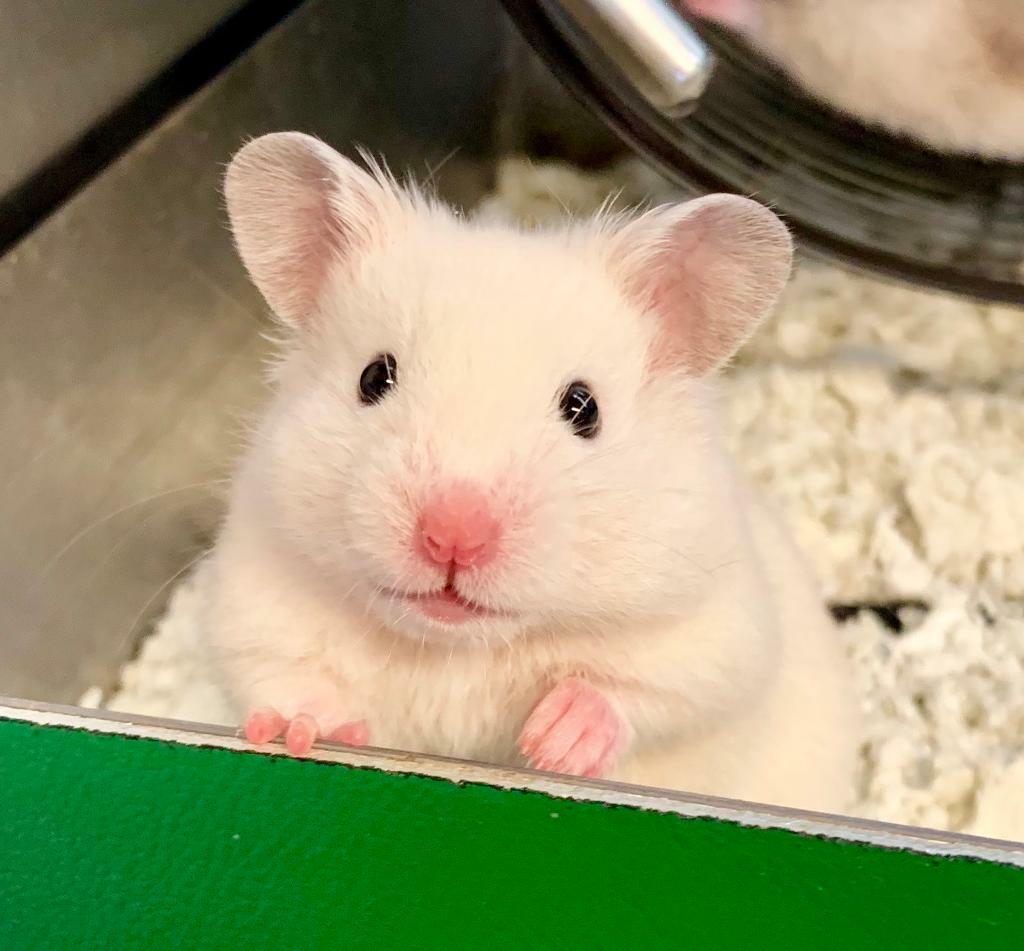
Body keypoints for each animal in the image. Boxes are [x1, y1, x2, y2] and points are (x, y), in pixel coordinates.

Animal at [202, 131, 860, 814]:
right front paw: (298, 731)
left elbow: (660, 691)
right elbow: (282, 672)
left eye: (584, 408)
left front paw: (553, 740)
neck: (458, 648)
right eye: (374, 377)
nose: (453, 535)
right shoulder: (255, 596)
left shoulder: (722, 627)